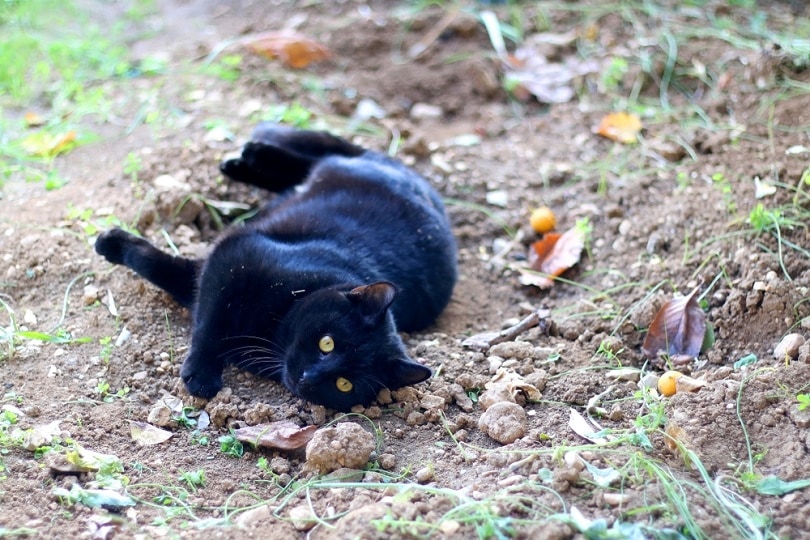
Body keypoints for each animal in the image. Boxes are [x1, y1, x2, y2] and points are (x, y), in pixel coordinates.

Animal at [94, 121, 454, 410]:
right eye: (327, 343)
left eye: (344, 384)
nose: (309, 378)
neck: (273, 327)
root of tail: (424, 186)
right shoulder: (235, 258)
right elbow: (207, 323)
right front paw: (202, 376)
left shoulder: (209, 273)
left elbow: (166, 273)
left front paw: (114, 243)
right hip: (346, 171)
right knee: (327, 157)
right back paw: (250, 155)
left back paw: (245, 161)